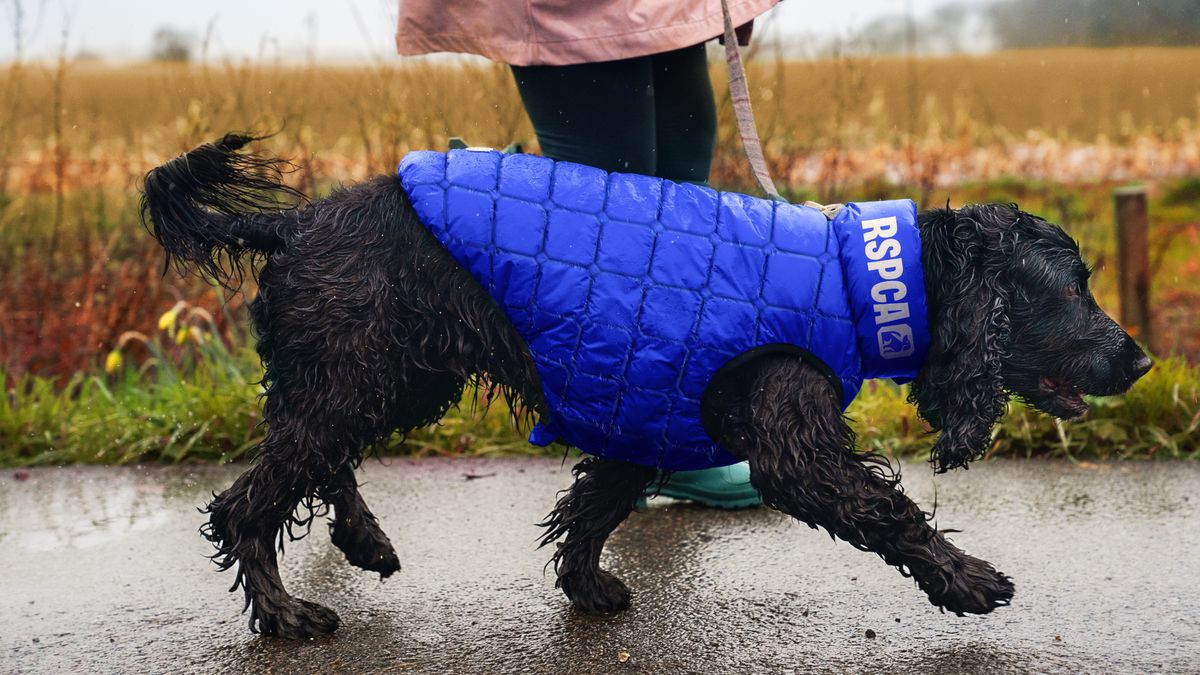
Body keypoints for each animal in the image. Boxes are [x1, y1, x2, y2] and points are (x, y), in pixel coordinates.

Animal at [140, 135, 1152, 634]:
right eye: (1073, 288)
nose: (1140, 358)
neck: (857, 277)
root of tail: (299, 222)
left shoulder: (647, 409)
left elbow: (595, 504)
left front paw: (586, 584)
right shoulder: (789, 440)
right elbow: (890, 511)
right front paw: (968, 581)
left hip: (387, 375)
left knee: (315, 457)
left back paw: (364, 540)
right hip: (358, 372)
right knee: (247, 499)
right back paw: (284, 612)